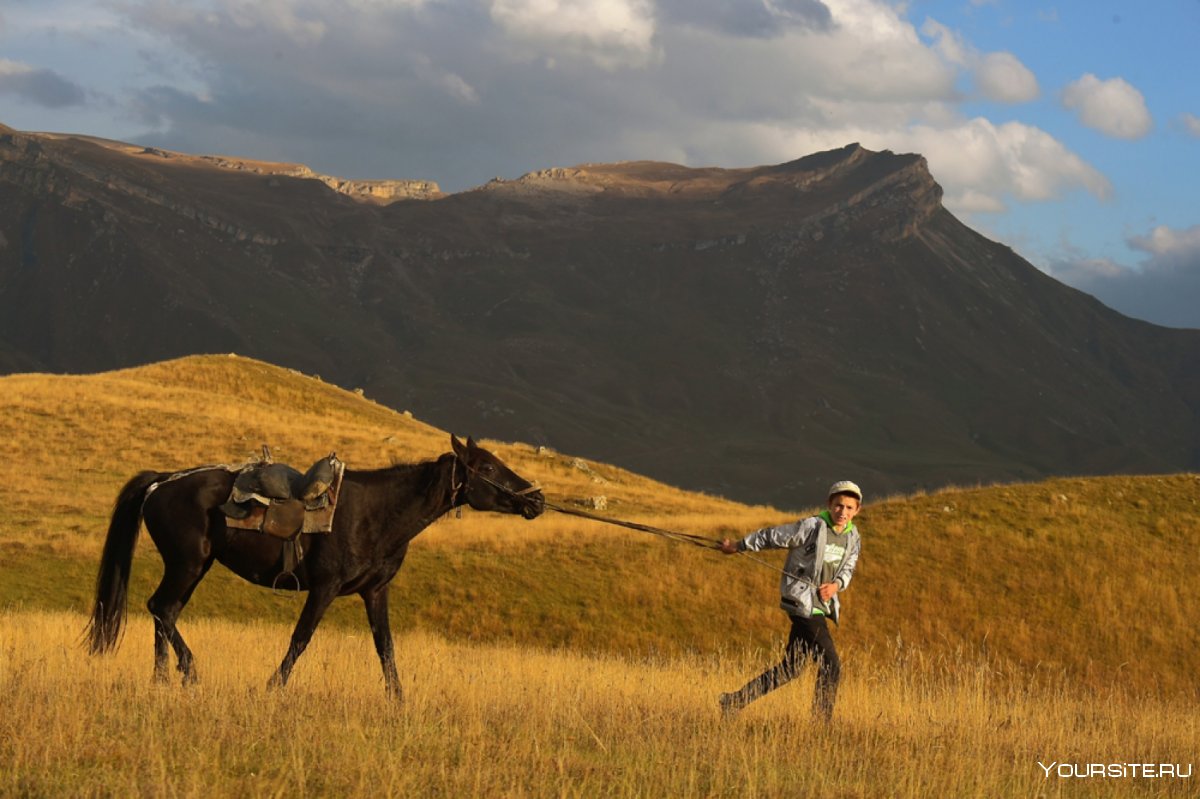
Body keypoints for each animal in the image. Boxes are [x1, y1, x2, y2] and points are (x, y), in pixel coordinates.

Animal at [88, 431, 544, 695]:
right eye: (488, 467)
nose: (537, 499)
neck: (377, 512)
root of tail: (162, 482)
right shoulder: (324, 588)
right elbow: (300, 638)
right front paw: (272, 687)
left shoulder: (375, 592)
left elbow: (385, 646)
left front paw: (398, 699)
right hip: (188, 563)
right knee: (161, 608)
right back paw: (188, 672)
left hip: (192, 568)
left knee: (163, 611)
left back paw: (162, 679)